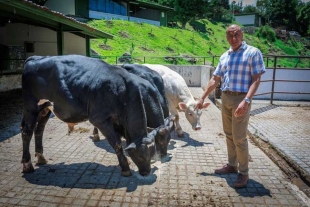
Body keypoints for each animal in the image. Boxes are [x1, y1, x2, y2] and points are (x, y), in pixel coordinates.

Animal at [20, 54, 172, 176]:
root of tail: (35, 58)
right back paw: (27, 165)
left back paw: (41, 157)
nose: (146, 172)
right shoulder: (99, 118)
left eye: (151, 152)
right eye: (140, 156)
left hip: (45, 108)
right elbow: (117, 143)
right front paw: (125, 168)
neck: (122, 89)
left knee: (39, 130)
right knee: (27, 132)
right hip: (30, 108)